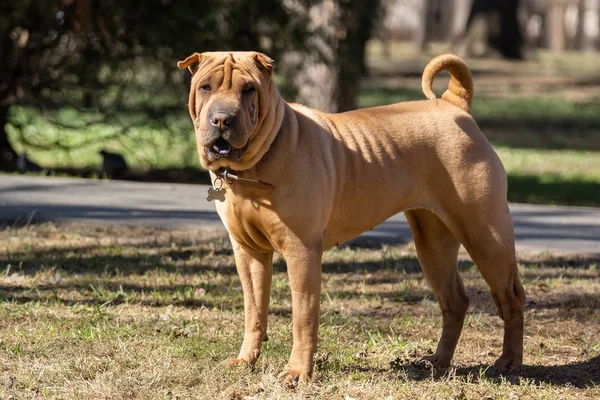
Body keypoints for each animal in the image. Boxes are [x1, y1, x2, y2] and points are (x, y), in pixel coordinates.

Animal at [176, 51, 524, 382]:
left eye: (248, 89)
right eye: (205, 87)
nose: (222, 120)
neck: (253, 166)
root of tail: (454, 105)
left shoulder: (301, 251)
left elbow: (303, 318)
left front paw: (297, 373)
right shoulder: (248, 252)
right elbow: (254, 311)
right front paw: (246, 361)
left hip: (485, 235)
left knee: (511, 297)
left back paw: (509, 362)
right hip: (432, 243)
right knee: (455, 301)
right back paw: (438, 360)